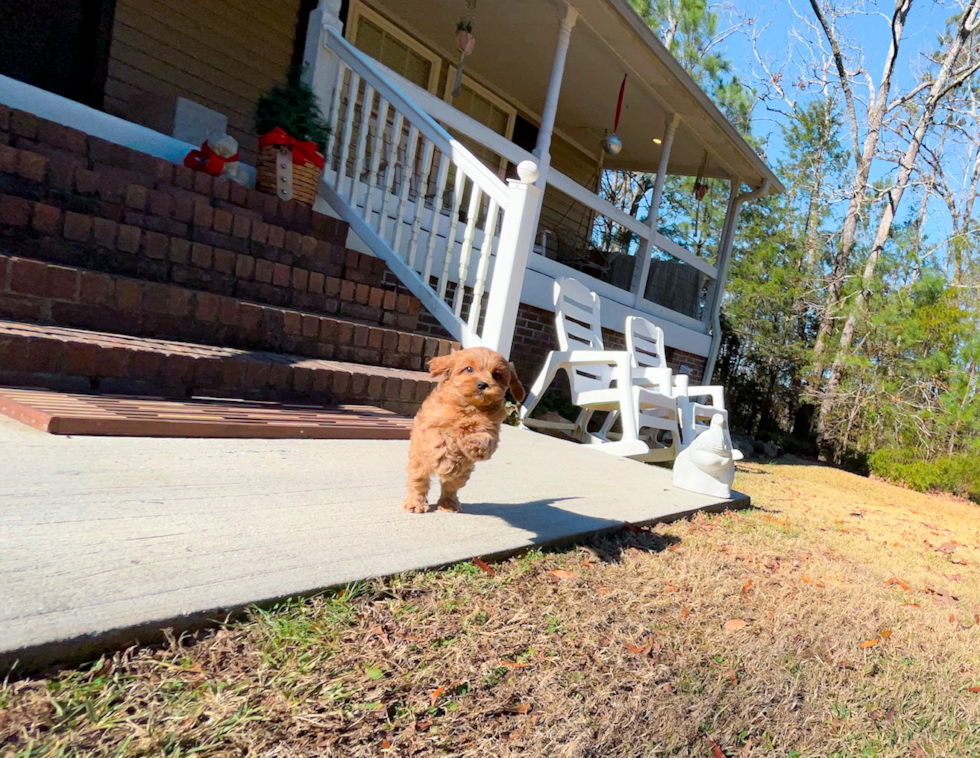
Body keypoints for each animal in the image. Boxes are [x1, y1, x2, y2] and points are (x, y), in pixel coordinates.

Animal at [404, 350, 524, 516]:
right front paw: (445, 460)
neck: (469, 407)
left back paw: (448, 504)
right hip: (419, 463)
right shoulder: (430, 425)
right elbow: (439, 441)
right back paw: (416, 504)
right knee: (418, 483)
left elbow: (485, 439)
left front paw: (473, 445)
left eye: (497, 375)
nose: (482, 384)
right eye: (469, 369)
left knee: (450, 488)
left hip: (462, 475)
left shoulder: (492, 430)